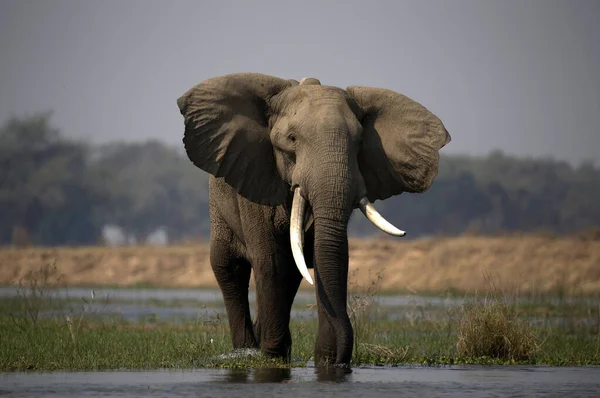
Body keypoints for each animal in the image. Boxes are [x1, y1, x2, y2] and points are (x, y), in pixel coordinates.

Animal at [177, 72, 450, 366]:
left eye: (359, 142)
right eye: (292, 138)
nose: (341, 355)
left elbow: (327, 257)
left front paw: (326, 360)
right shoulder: (255, 180)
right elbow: (270, 260)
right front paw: (273, 357)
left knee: (291, 274)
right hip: (219, 208)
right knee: (230, 268)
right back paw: (247, 349)